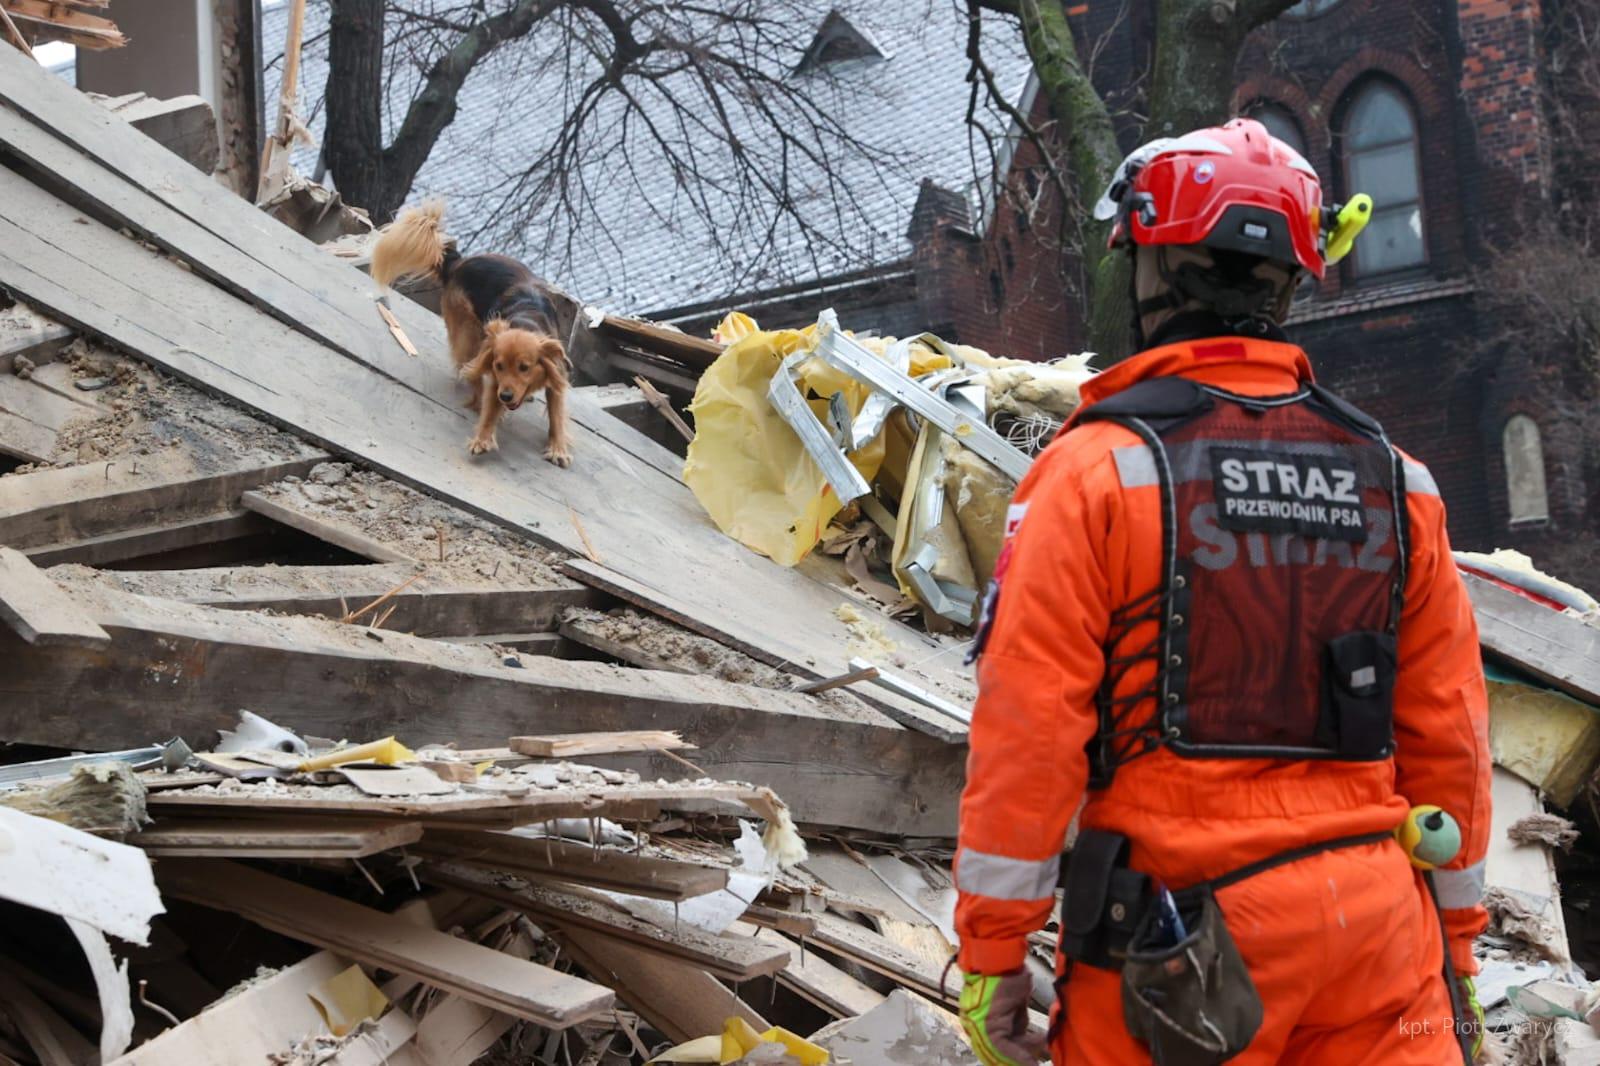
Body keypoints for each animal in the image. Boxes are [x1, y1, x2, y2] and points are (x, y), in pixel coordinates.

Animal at [371, 201, 572, 464]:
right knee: (470, 370)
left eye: (524, 368)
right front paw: (483, 438)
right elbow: (489, 406)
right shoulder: (495, 376)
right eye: (499, 366)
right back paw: (478, 400)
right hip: (468, 333)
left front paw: (558, 448)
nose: (506, 397)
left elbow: (557, 414)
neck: (525, 322)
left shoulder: (555, 372)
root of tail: (458, 263)